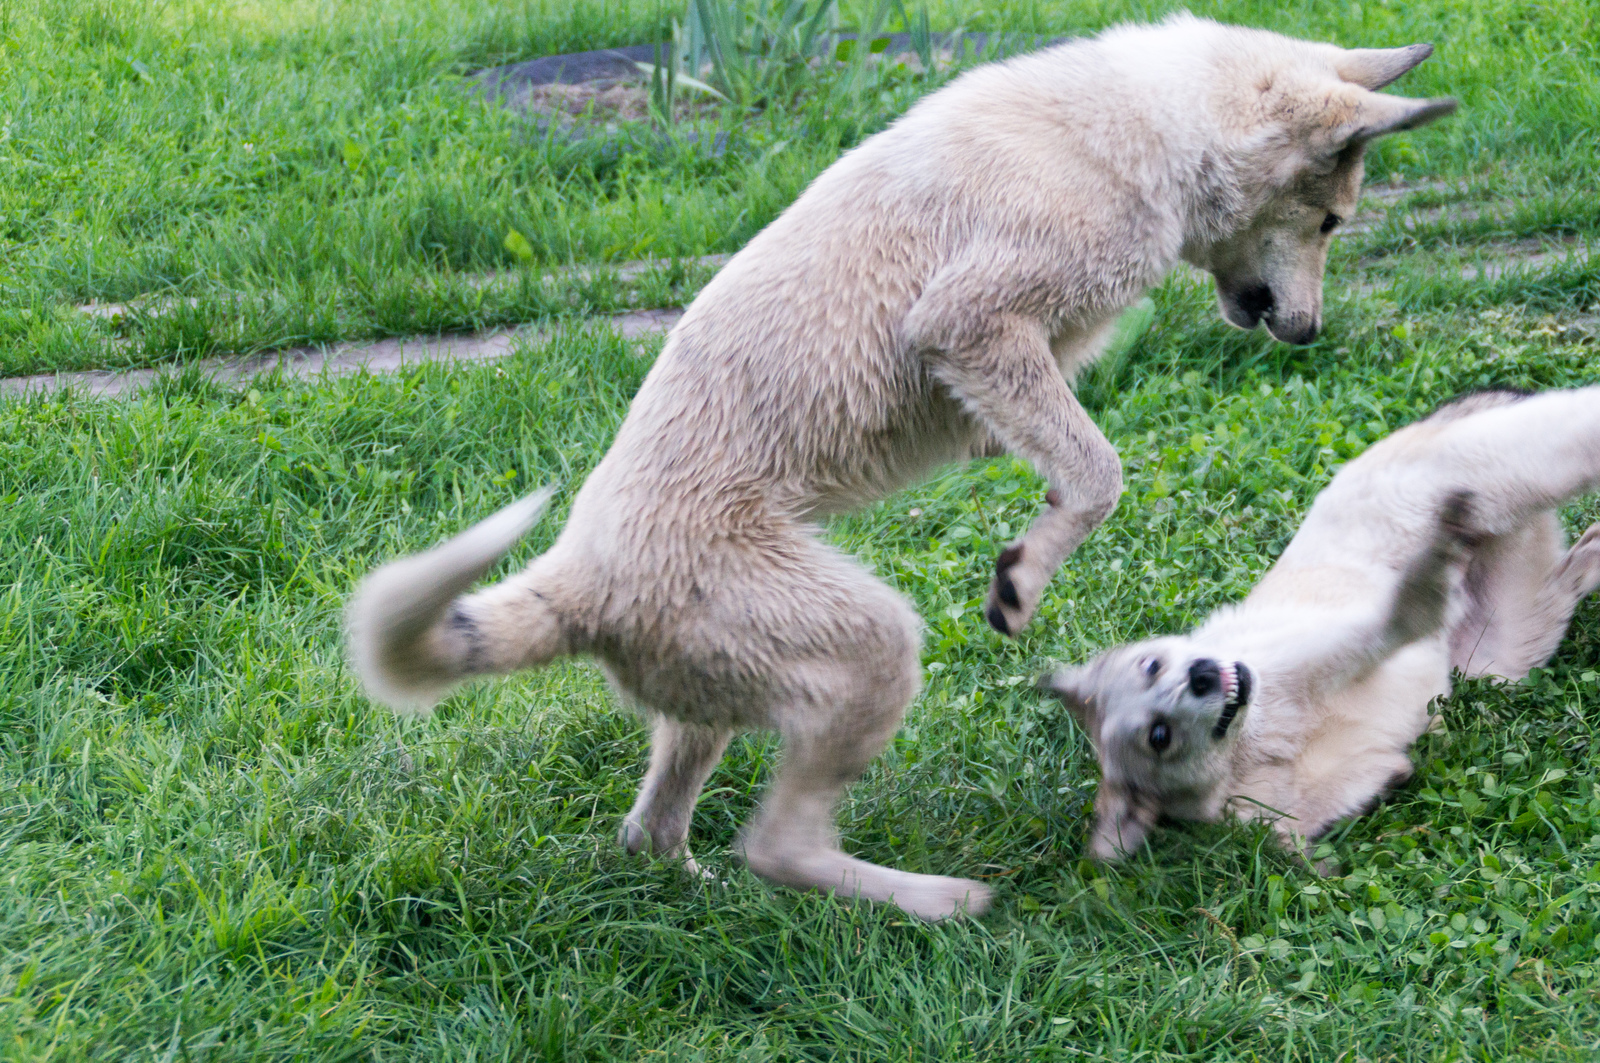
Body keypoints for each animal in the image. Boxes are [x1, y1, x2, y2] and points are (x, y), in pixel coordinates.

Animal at [1036, 385, 1600, 858]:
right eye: (1159, 736)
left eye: (1152, 665)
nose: (1202, 673)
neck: (1254, 745)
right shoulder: (1302, 804)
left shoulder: (1360, 638)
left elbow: (1407, 608)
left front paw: (1428, 574)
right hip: (1504, 653)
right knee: (1574, 565)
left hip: (1500, 476)